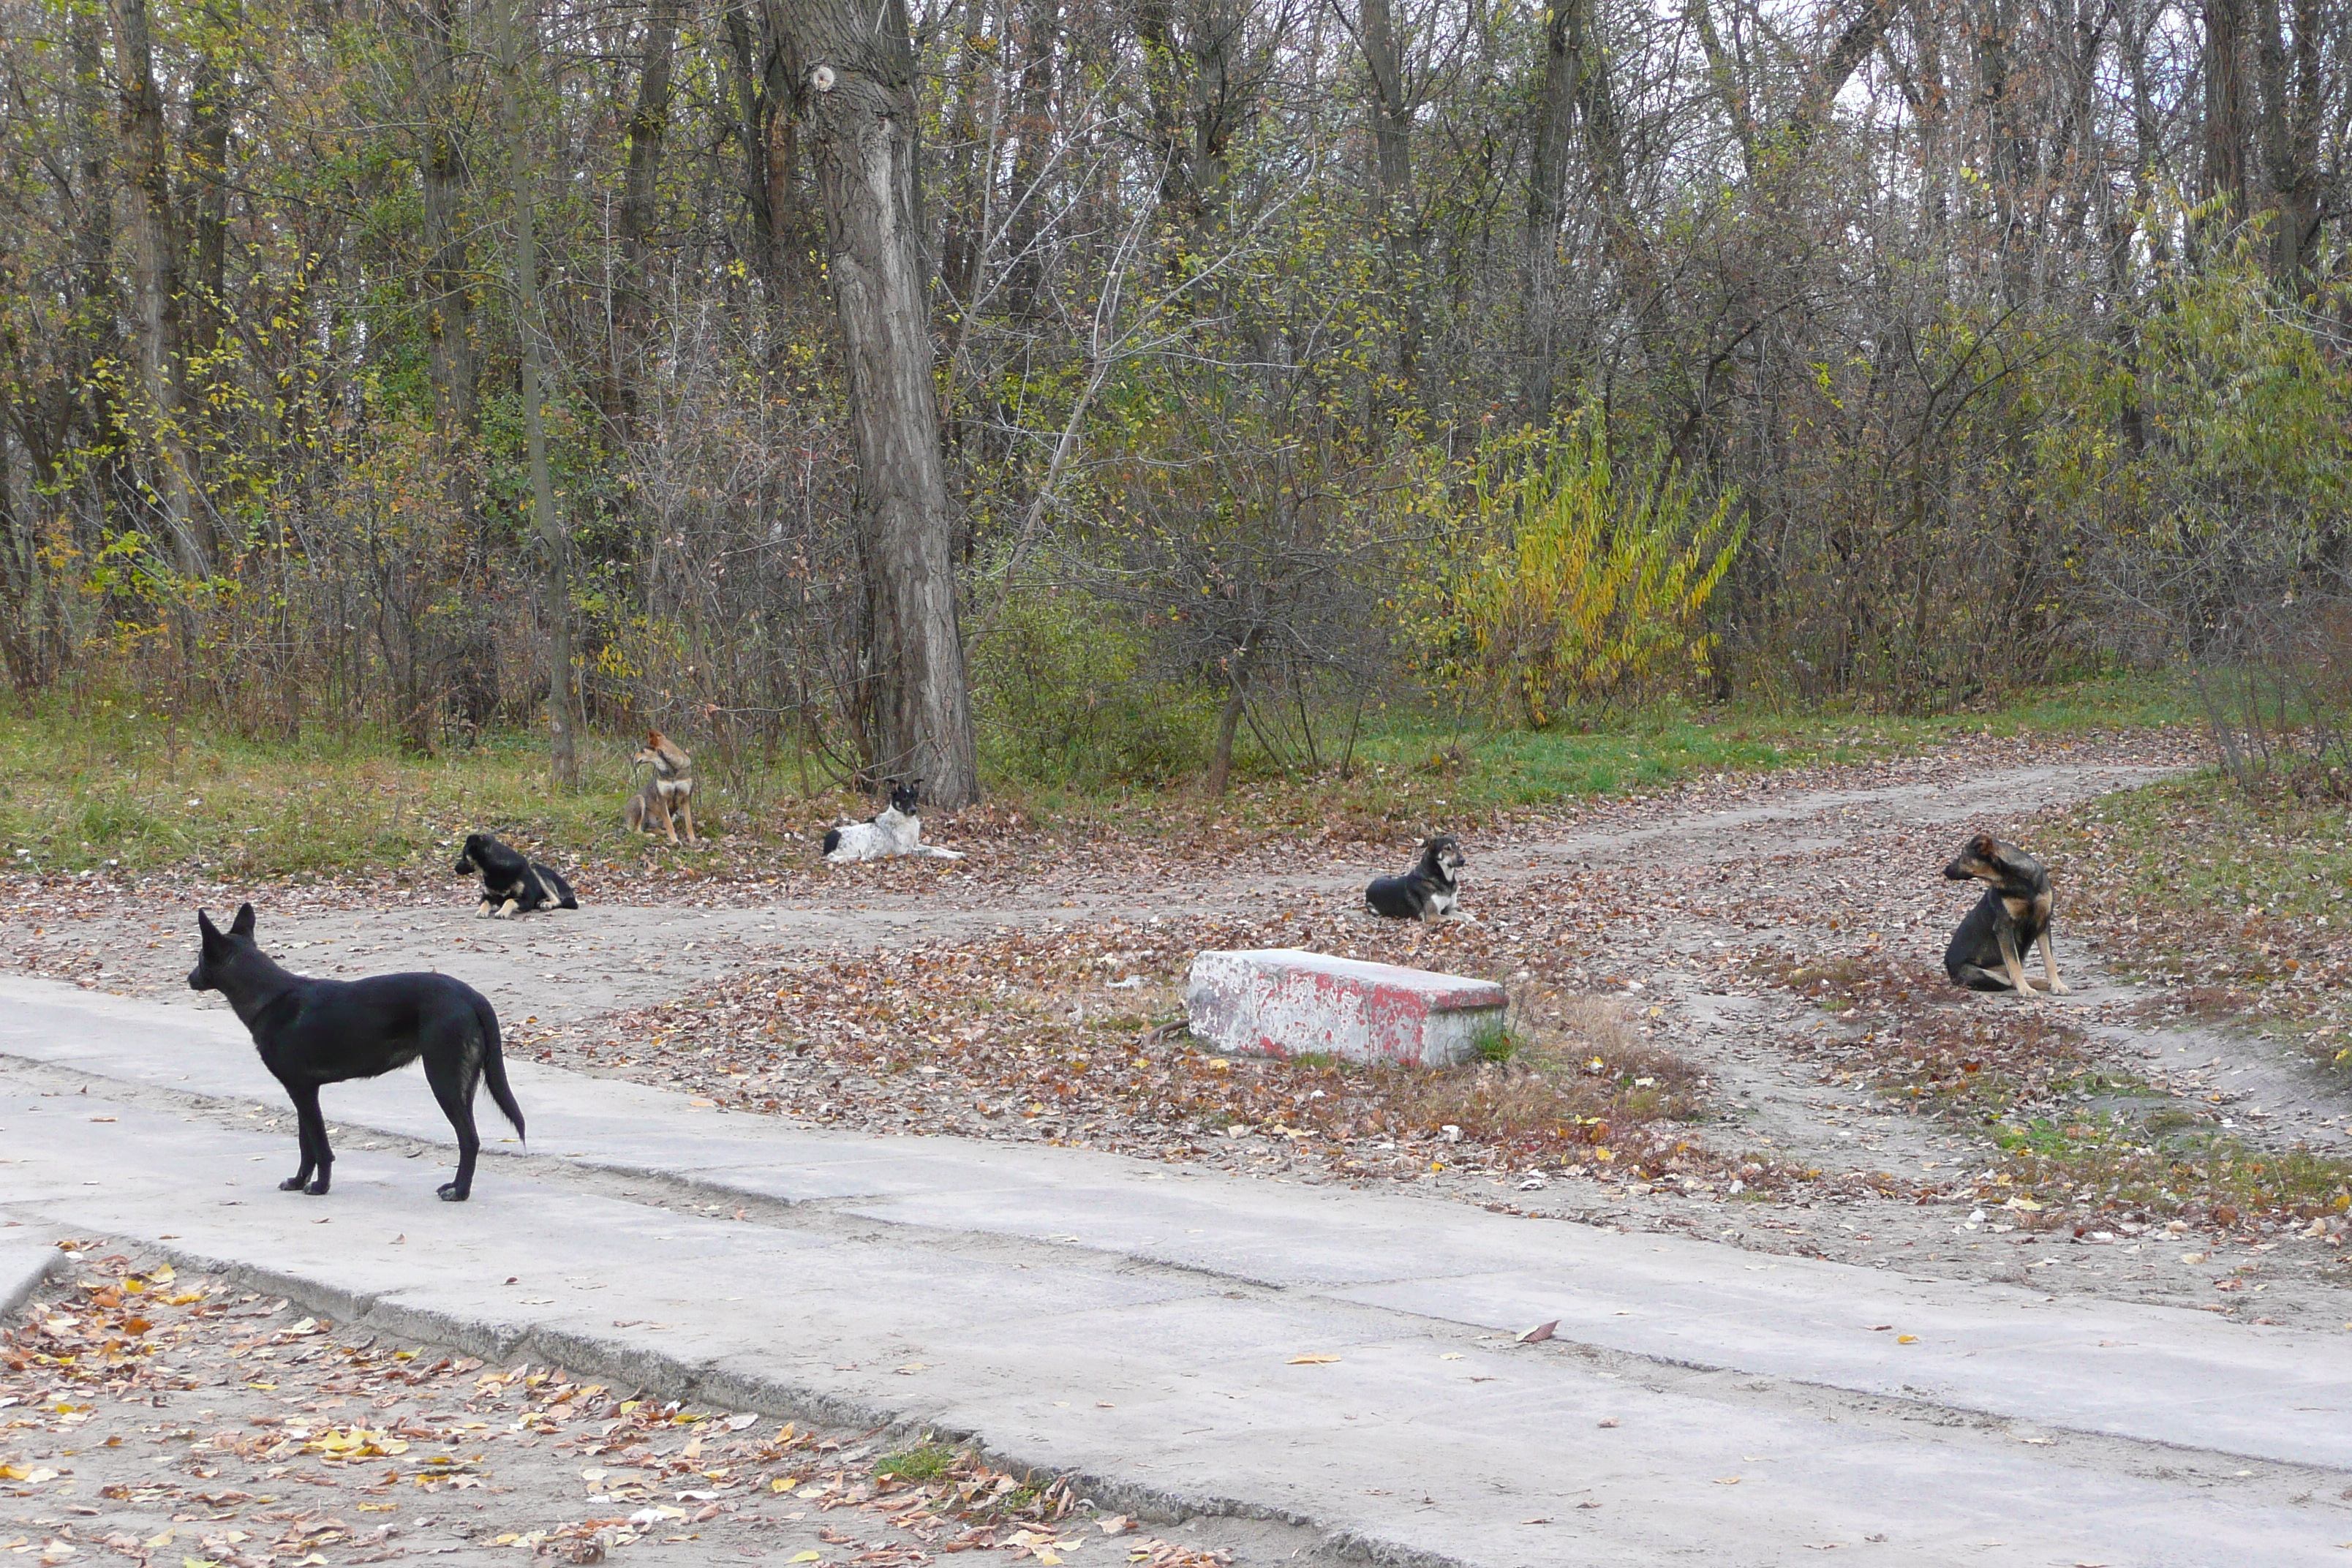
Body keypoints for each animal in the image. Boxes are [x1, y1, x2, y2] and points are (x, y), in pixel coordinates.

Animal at [188, 907, 529, 1203]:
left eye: (201, 958)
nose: (188, 978)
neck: (269, 997)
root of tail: (472, 996)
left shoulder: (303, 1092)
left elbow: (320, 1147)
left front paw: (320, 1187)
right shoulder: (302, 1092)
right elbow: (305, 1145)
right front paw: (299, 1181)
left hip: (443, 1080)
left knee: (469, 1140)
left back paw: (460, 1193)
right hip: (462, 1084)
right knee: (467, 1139)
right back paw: (455, 1185)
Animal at [451, 832, 576, 921]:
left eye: (464, 855)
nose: (455, 869)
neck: (498, 871)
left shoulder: (527, 899)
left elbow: (510, 900)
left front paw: (502, 912)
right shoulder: (487, 896)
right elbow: (485, 902)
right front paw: (482, 911)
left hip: (537, 869)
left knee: (558, 900)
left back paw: (547, 903)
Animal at [621, 733, 691, 846]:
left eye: (642, 750)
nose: (632, 758)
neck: (672, 771)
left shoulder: (685, 797)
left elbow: (689, 824)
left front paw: (693, 840)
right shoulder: (663, 799)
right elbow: (669, 825)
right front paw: (675, 841)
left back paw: (660, 832)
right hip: (639, 800)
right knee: (636, 831)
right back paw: (649, 836)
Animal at [823, 785, 960, 870]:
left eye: (914, 797)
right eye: (903, 798)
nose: (913, 810)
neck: (906, 820)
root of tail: (828, 843)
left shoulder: (914, 845)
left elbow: (936, 847)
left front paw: (957, 853)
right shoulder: (905, 850)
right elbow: (931, 851)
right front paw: (952, 857)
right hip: (864, 838)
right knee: (856, 856)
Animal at [1937, 827, 2070, 1001]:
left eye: (1962, 856)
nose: (1944, 871)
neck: (2019, 880)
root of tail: (1949, 970)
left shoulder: (2043, 923)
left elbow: (2049, 961)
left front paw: (2057, 985)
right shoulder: (2004, 926)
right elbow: (2015, 964)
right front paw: (2025, 989)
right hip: (1990, 977)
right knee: (2009, 980)